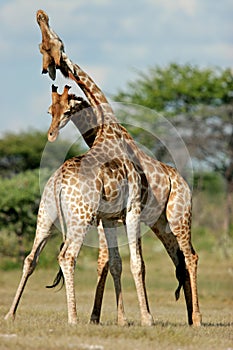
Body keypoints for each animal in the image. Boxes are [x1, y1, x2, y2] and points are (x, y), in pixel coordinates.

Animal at [35, 10, 201, 328]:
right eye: (49, 111)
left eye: (52, 44)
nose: (41, 14)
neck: (108, 127)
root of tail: (182, 182)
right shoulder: (114, 217)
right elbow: (115, 262)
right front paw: (113, 317)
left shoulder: (127, 212)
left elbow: (133, 263)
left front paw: (140, 317)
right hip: (160, 223)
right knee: (179, 259)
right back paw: (188, 316)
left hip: (178, 215)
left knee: (191, 257)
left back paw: (197, 318)